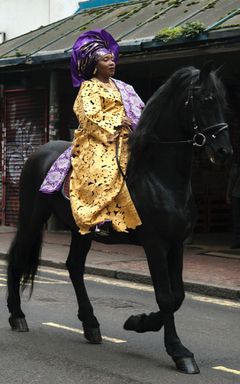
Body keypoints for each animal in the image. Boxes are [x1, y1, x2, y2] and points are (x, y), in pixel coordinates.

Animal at [6, 64, 232, 374]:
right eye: (206, 100)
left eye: (224, 101)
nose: (224, 152)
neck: (157, 176)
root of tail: (38, 152)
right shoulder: (155, 243)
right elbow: (165, 295)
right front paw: (178, 351)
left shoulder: (176, 243)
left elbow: (178, 295)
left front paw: (139, 322)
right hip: (32, 216)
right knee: (18, 257)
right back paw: (17, 316)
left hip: (81, 229)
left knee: (74, 267)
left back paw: (90, 325)